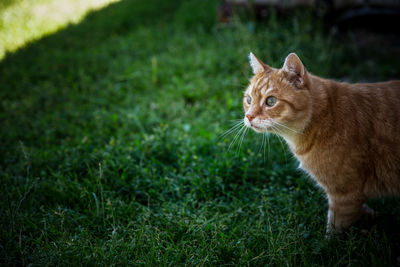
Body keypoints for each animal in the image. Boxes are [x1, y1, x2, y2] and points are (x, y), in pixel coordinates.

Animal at [242, 51, 400, 232]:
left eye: (271, 101)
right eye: (248, 99)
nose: (248, 116)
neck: (327, 117)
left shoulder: (345, 195)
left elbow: (334, 230)